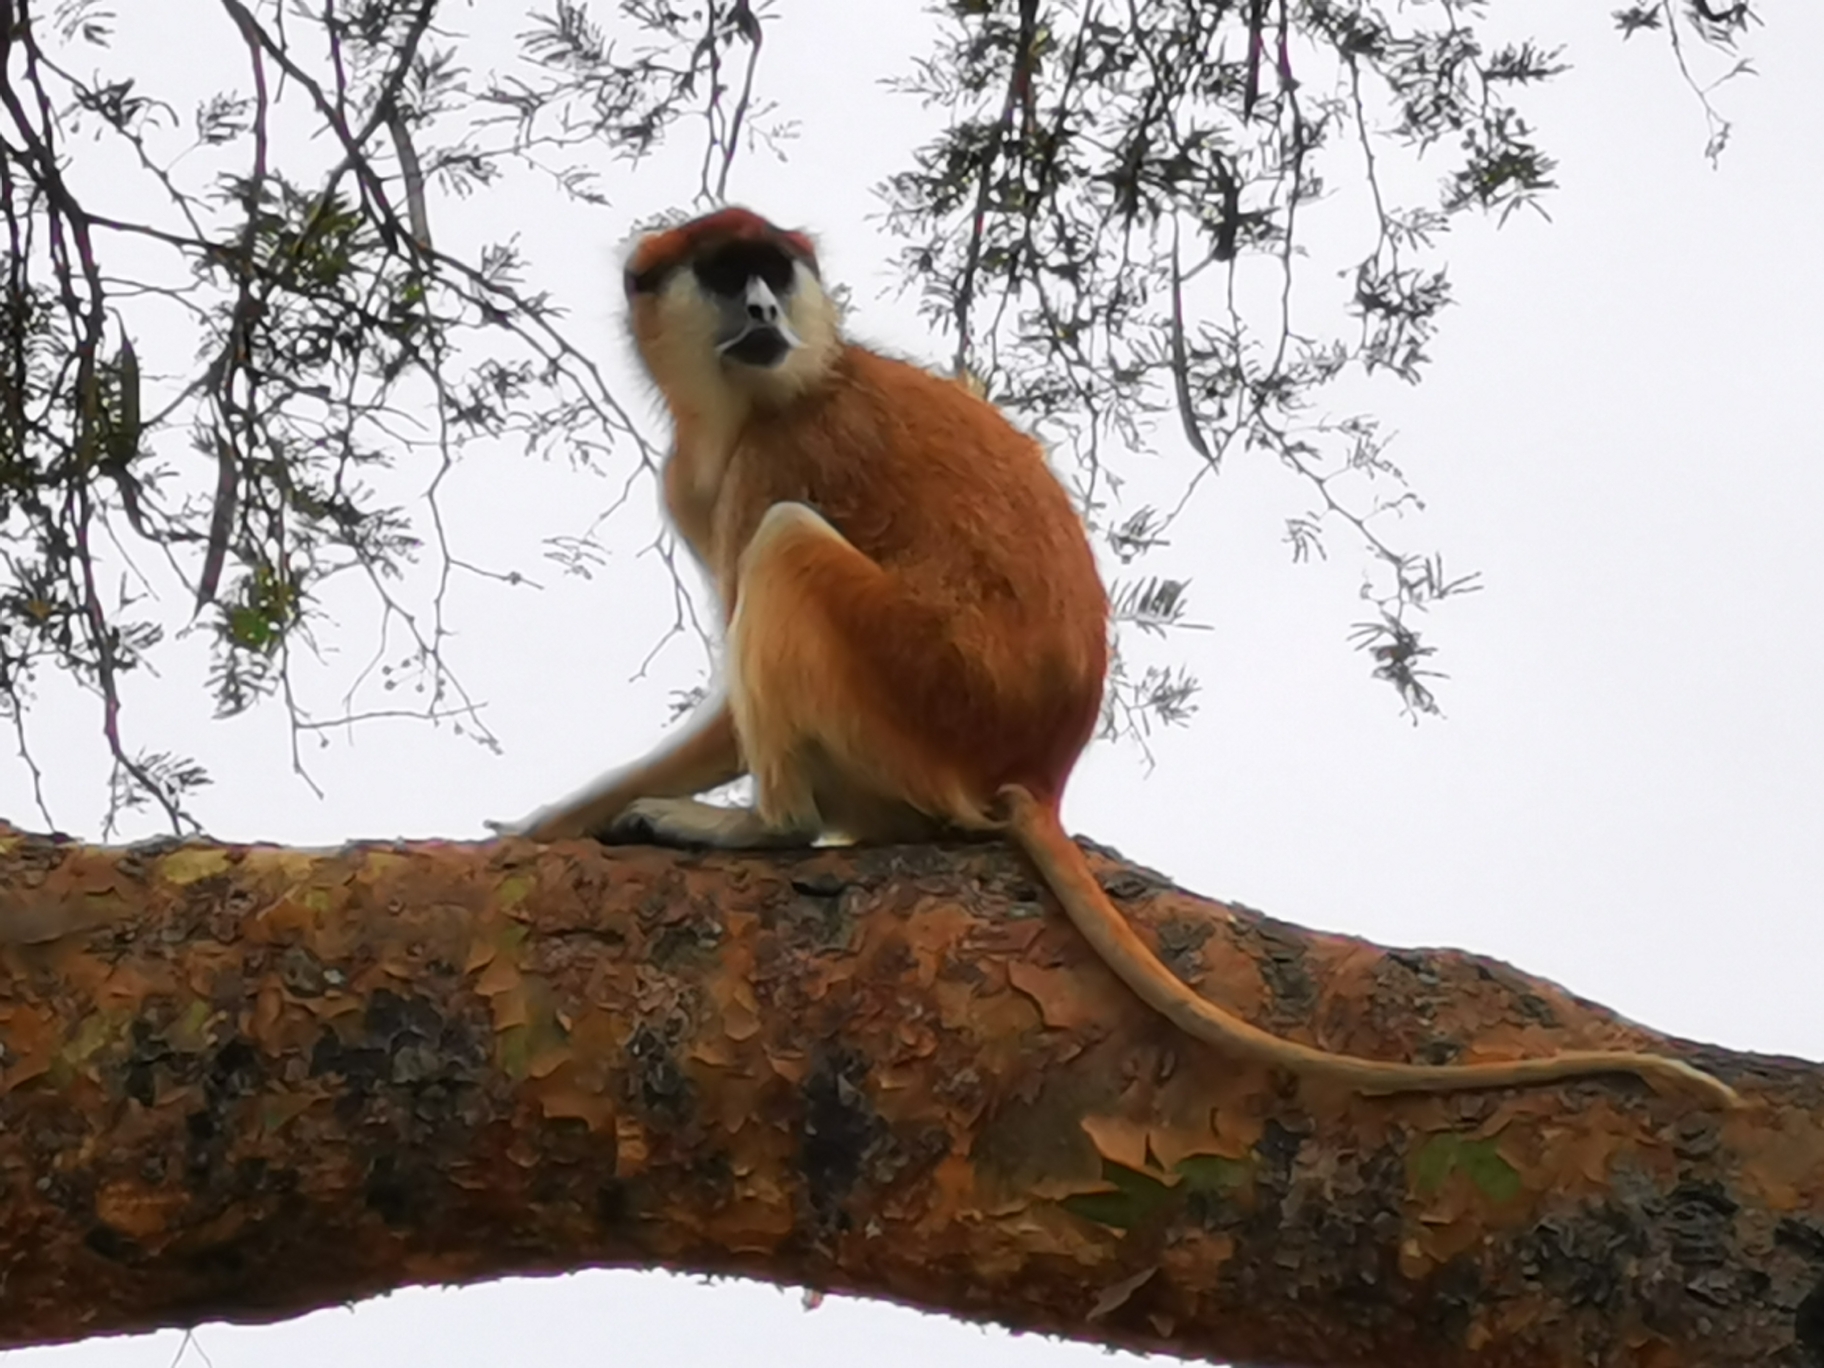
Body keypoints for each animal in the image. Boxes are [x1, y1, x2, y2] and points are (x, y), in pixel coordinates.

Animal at [518, 214, 1736, 1116]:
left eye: (774, 270)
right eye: (730, 276)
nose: (767, 311)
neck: (796, 376)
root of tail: (1034, 772)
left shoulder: (782, 449)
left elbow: (744, 651)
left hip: (915, 690)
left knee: (785, 549)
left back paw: (769, 825)